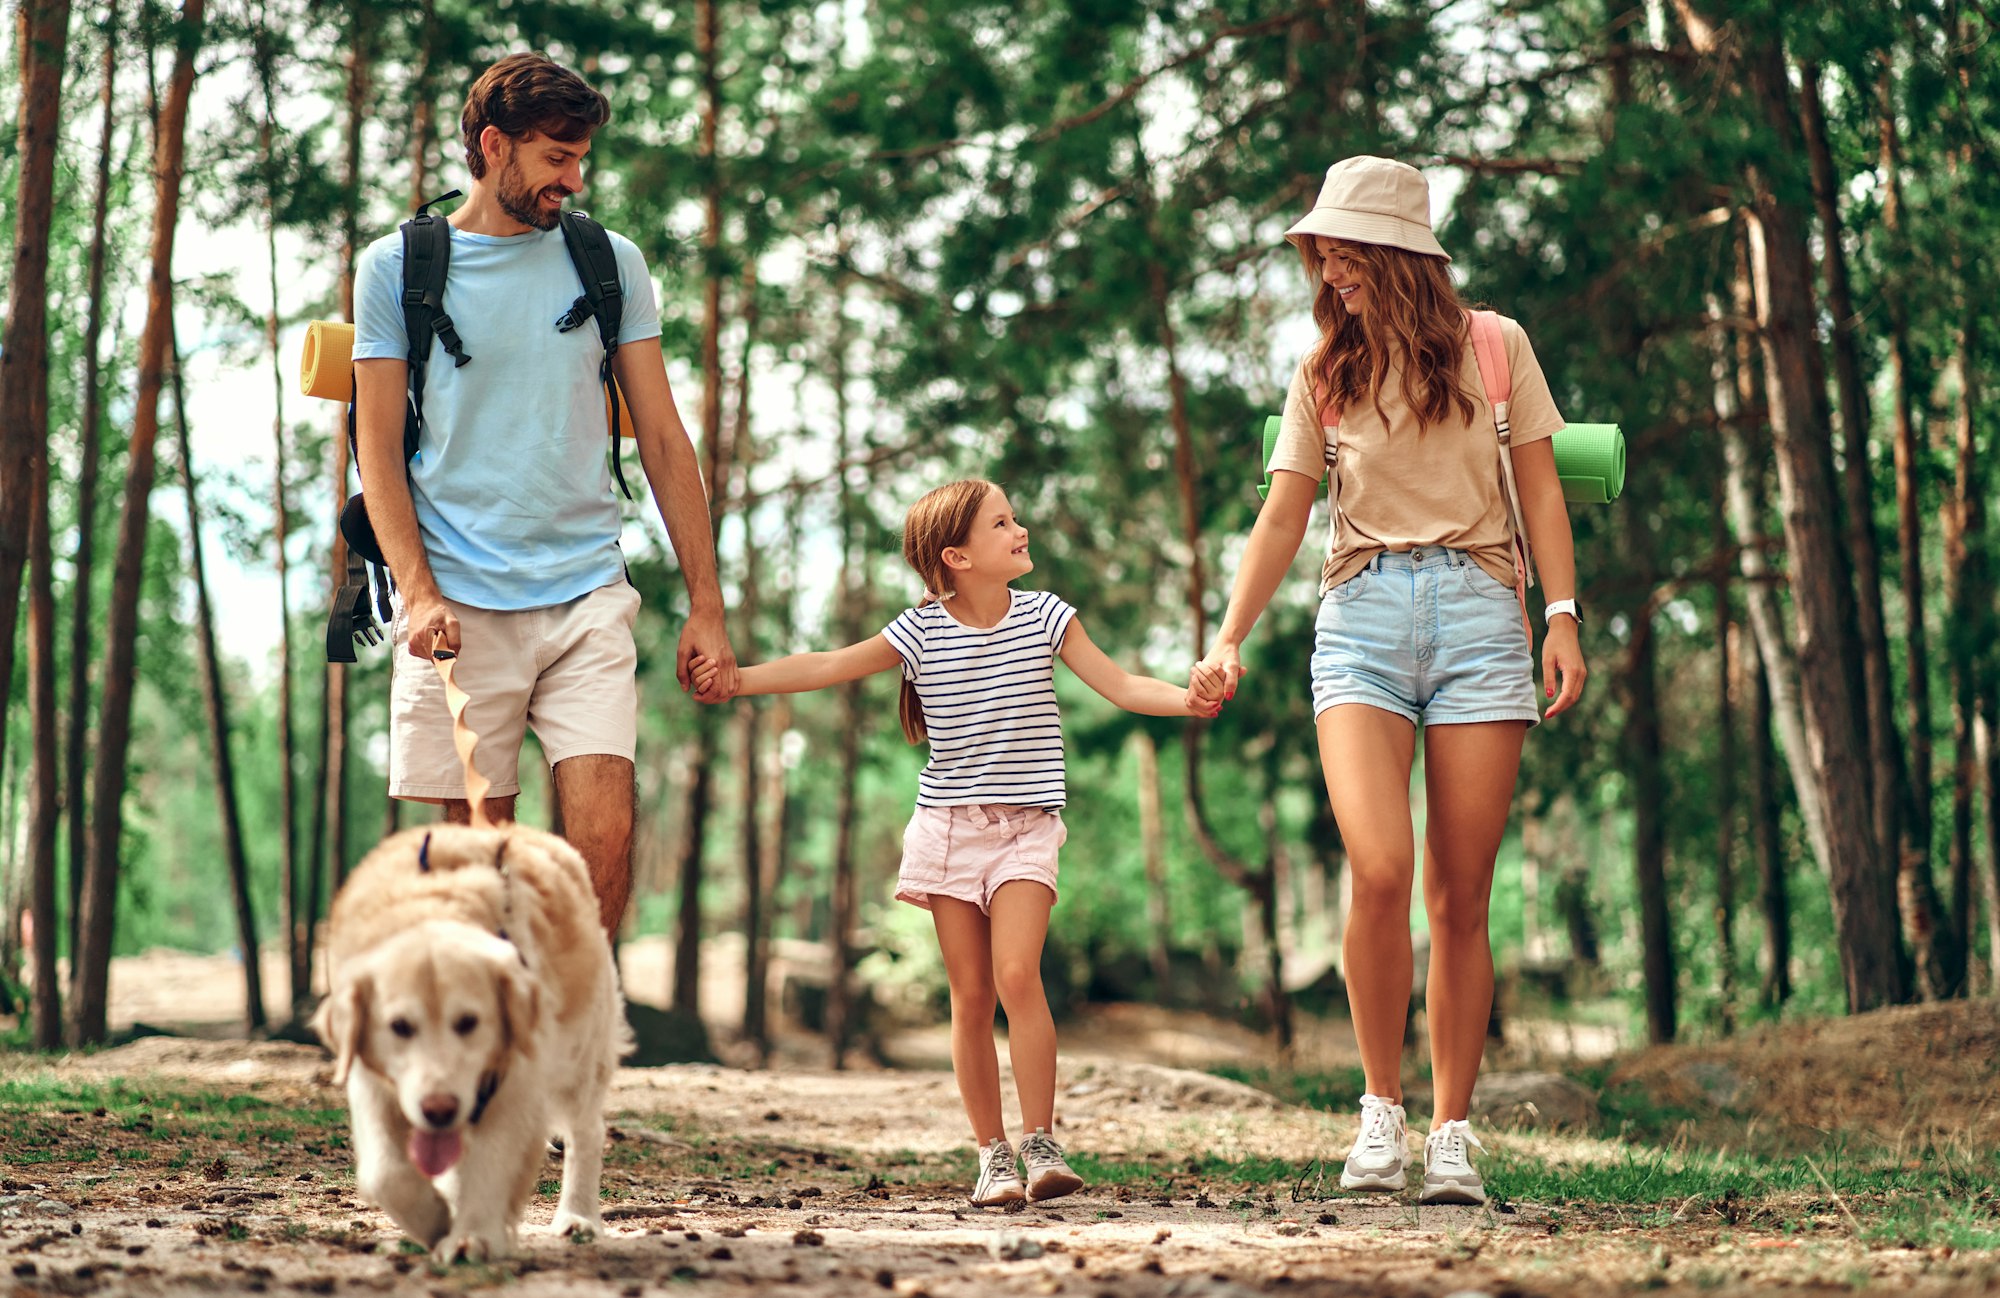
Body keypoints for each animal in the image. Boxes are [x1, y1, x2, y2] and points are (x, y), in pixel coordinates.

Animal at [312, 824, 628, 1264]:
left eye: (469, 1022)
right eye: (399, 1026)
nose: (440, 1109)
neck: (433, 909)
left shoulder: (516, 1086)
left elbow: (491, 1161)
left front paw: (471, 1235)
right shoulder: (368, 1077)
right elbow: (385, 1171)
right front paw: (435, 1220)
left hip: (579, 1060)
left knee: (587, 1132)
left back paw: (578, 1216)